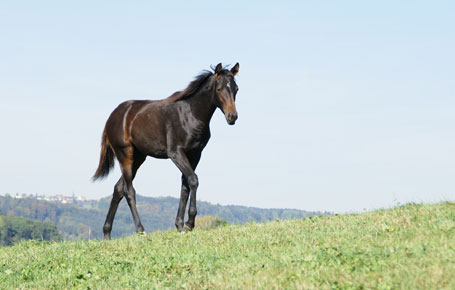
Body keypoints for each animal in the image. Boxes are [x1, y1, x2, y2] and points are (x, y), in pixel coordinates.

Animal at [93, 62, 242, 239]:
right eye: (219, 89)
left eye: (236, 88)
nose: (232, 117)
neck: (190, 114)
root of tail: (112, 117)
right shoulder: (176, 153)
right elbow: (193, 180)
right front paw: (189, 223)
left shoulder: (195, 154)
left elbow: (185, 186)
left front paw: (180, 225)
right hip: (125, 154)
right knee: (128, 191)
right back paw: (140, 230)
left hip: (138, 158)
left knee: (118, 189)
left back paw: (107, 234)